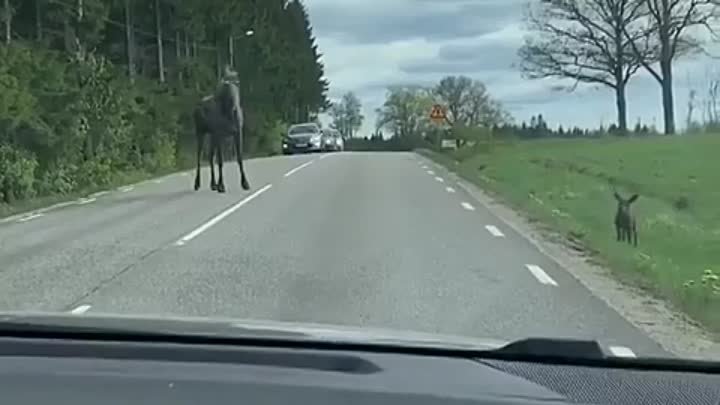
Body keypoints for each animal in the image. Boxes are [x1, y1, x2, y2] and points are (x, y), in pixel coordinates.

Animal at [193, 64, 249, 193]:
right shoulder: (219, 135)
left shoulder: (237, 132)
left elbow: (239, 158)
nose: (234, 107)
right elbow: (221, 161)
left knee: (210, 156)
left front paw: (245, 183)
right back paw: (197, 184)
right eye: (226, 84)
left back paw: (213, 184)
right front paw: (222, 185)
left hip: (211, 136)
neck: (229, 114)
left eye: (237, 83)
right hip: (201, 133)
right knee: (199, 157)